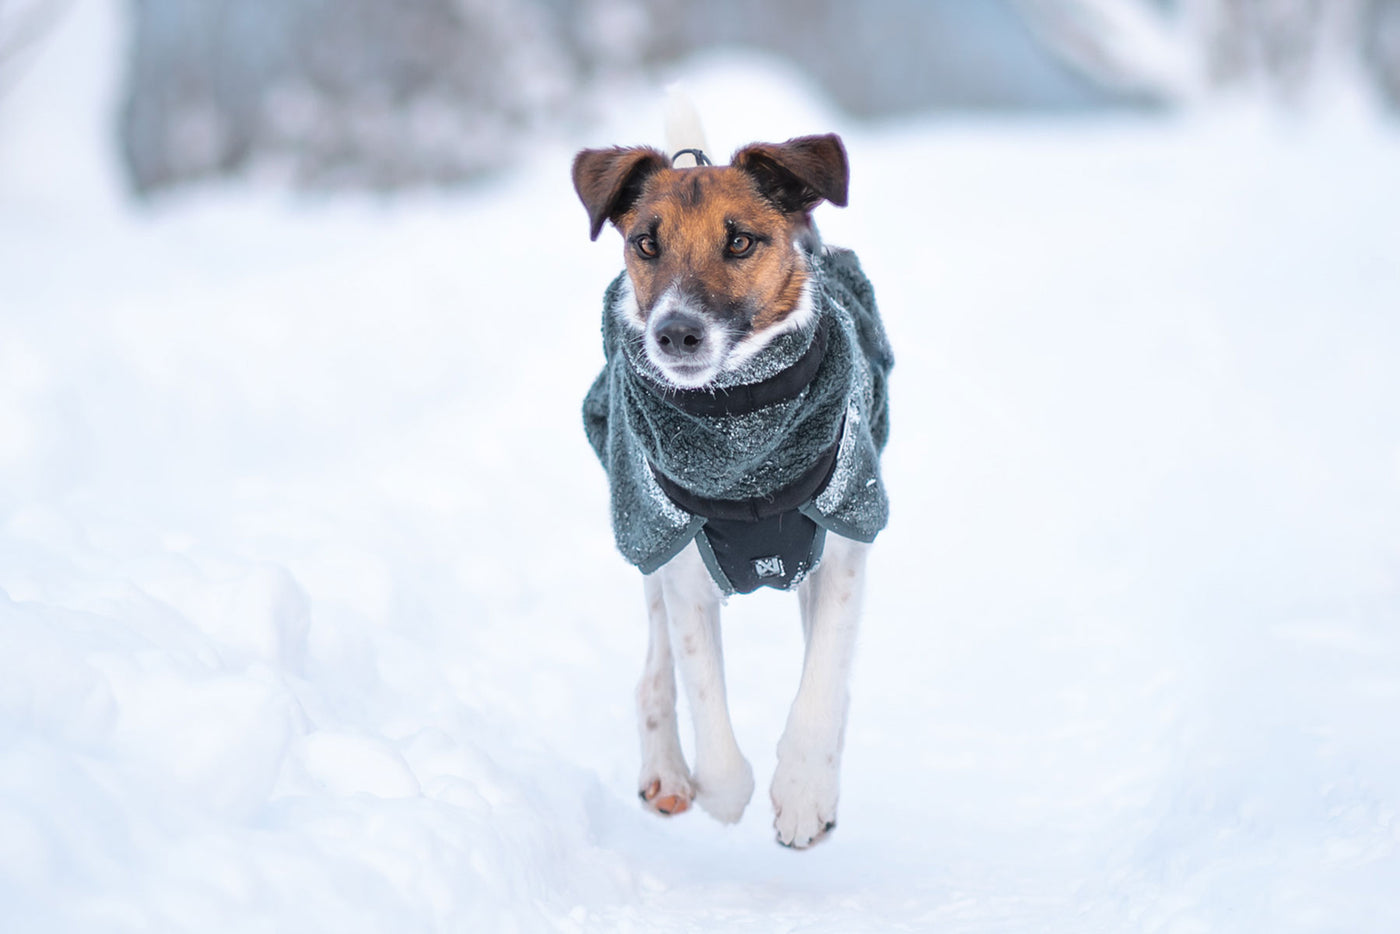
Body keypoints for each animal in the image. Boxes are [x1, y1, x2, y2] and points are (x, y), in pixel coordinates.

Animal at [565, 100, 884, 845]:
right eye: (646, 244)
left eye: (739, 242)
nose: (674, 333)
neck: (740, 423)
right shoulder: (682, 560)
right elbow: (704, 695)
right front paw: (726, 788)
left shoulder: (844, 538)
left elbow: (824, 680)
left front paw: (805, 791)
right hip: (643, 535)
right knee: (655, 669)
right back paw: (667, 771)